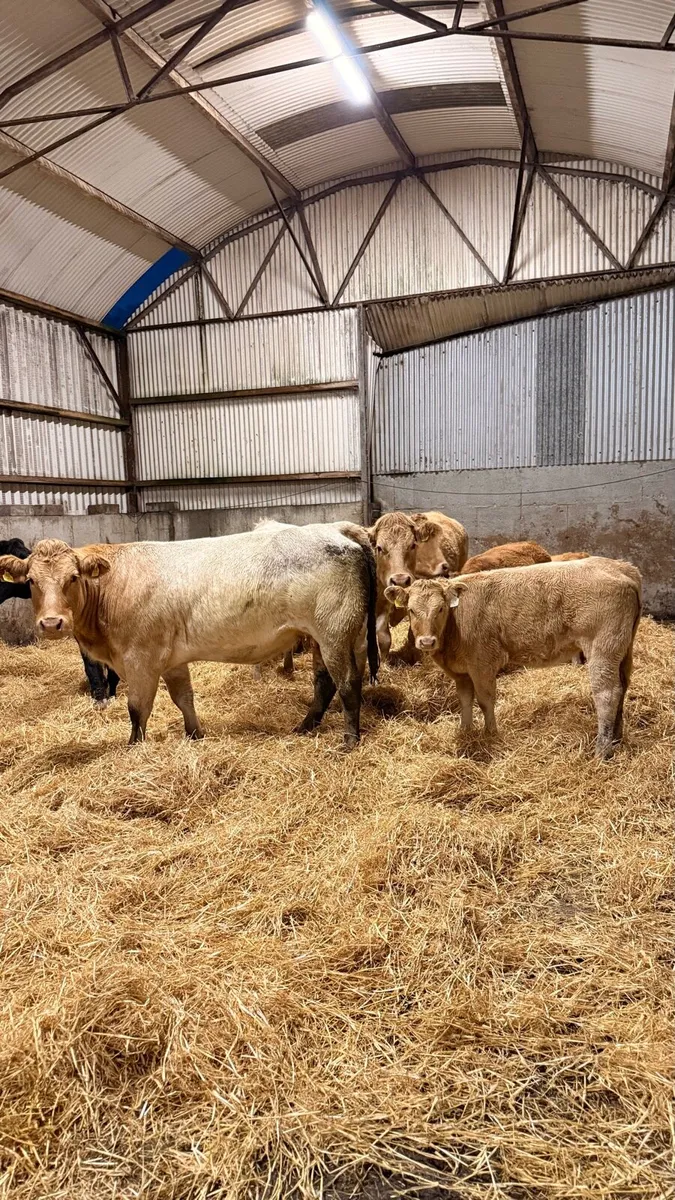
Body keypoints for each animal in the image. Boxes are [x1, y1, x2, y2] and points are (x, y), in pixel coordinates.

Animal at [385, 556, 641, 759]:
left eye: (440, 609)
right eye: (411, 610)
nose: (426, 642)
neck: (455, 625)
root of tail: (621, 568)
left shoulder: (483, 663)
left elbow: (485, 700)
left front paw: (491, 734)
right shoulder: (461, 672)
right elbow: (465, 700)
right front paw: (465, 732)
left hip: (602, 648)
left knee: (607, 694)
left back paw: (602, 751)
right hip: (623, 650)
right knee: (622, 687)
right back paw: (616, 738)